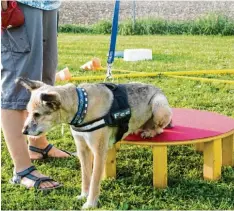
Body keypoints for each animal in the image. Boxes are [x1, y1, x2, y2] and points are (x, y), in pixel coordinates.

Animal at [16, 78, 172, 209]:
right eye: (28, 112)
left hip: (159, 107)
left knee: (159, 128)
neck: (82, 106)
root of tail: (158, 89)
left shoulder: (99, 152)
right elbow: (86, 176)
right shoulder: (83, 150)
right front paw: (83, 195)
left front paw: (90, 203)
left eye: (37, 114)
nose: (23, 131)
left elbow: (95, 181)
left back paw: (149, 132)